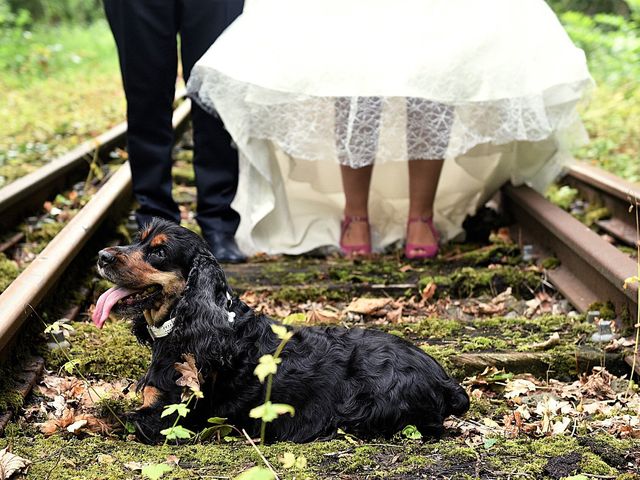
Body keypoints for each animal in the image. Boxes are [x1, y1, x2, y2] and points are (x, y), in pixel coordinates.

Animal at [91, 218, 470, 442]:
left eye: (159, 252)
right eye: (138, 241)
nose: (101, 256)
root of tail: (445, 380)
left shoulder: (169, 417)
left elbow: (115, 417)